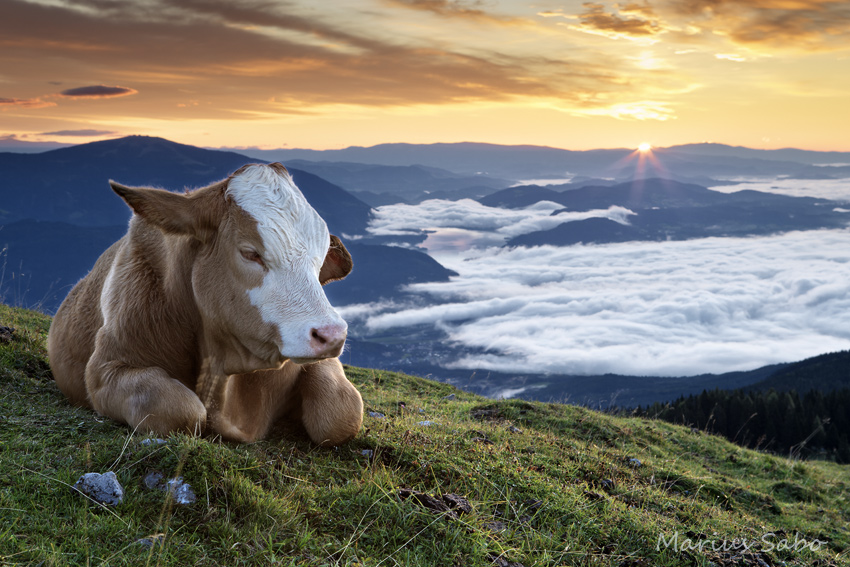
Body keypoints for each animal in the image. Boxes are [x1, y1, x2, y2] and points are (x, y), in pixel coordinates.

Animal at [47, 162, 362, 446]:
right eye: (250, 253)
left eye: (320, 256)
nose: (332, 335)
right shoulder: (105, 369)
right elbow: (181, 409)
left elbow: (343, 412)